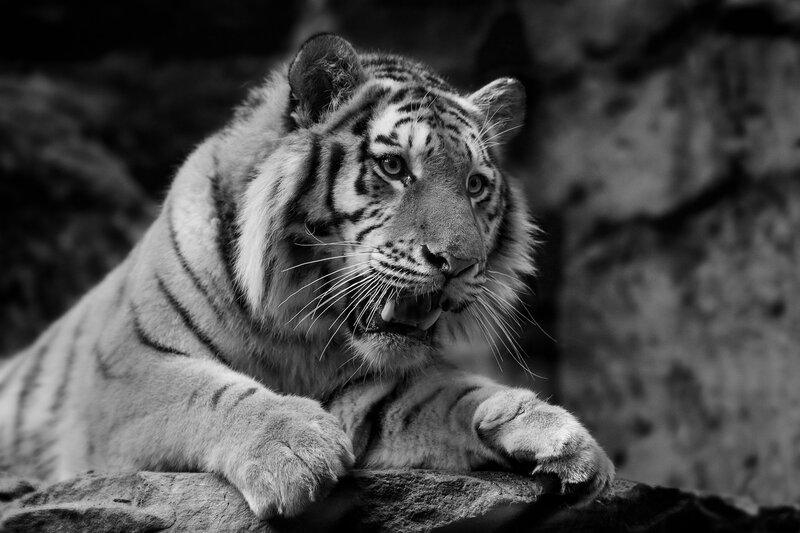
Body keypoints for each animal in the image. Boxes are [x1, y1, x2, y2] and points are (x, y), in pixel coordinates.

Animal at [0, 34, 614, 519]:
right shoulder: (125, 373)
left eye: (476, 185)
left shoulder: (375, 392)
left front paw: (561, 437)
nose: (458, 264)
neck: (294, 322)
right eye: (394, 167)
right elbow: (205, 391)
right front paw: (292, 449)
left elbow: (456, 395)